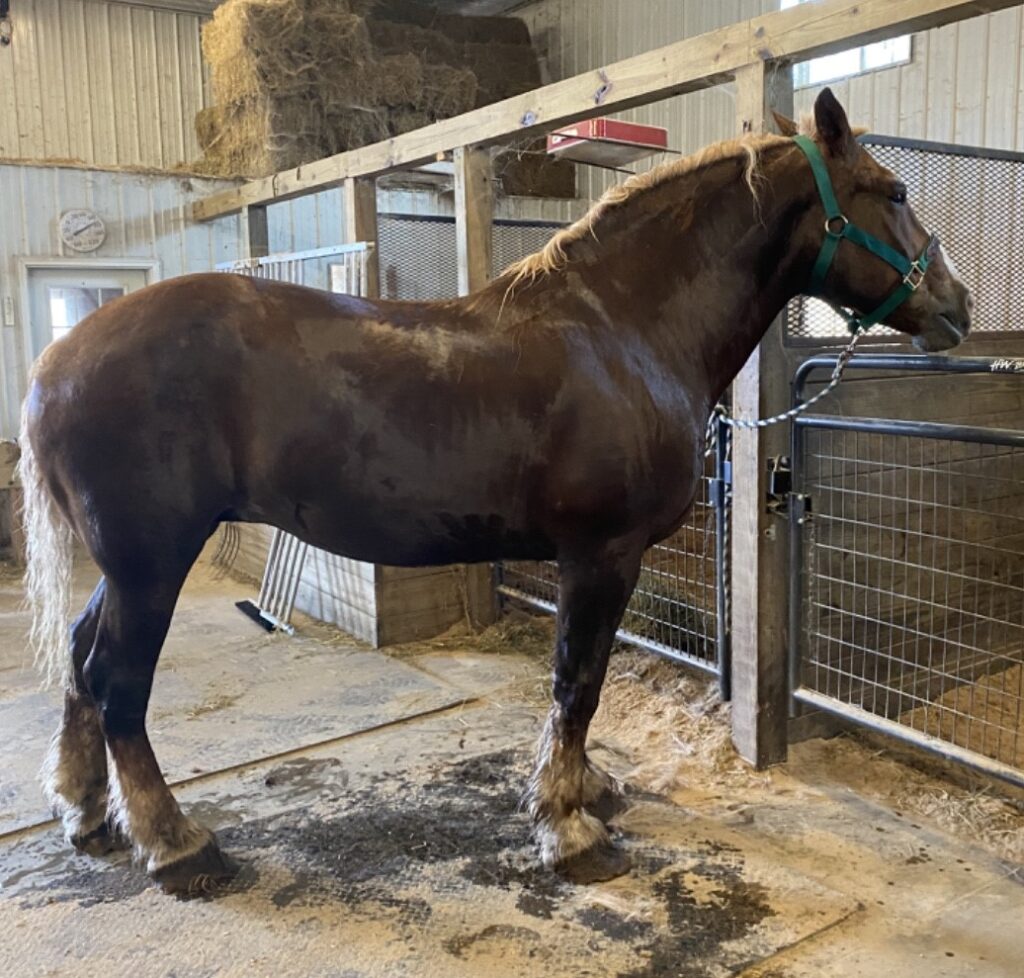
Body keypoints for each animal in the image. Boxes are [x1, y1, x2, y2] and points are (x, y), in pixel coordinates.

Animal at [19, 89, 971, 896]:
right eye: (892, 189)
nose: (956, 305)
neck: (623, 330)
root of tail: (57, 362)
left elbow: (581, 683)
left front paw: (586, 788)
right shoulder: (600, 556)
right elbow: (577, 681)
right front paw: (567, 826)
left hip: (128, 567)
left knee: (80, 654)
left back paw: (87, 812)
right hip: (153, 563)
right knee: (116, 681)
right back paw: (176, 844)